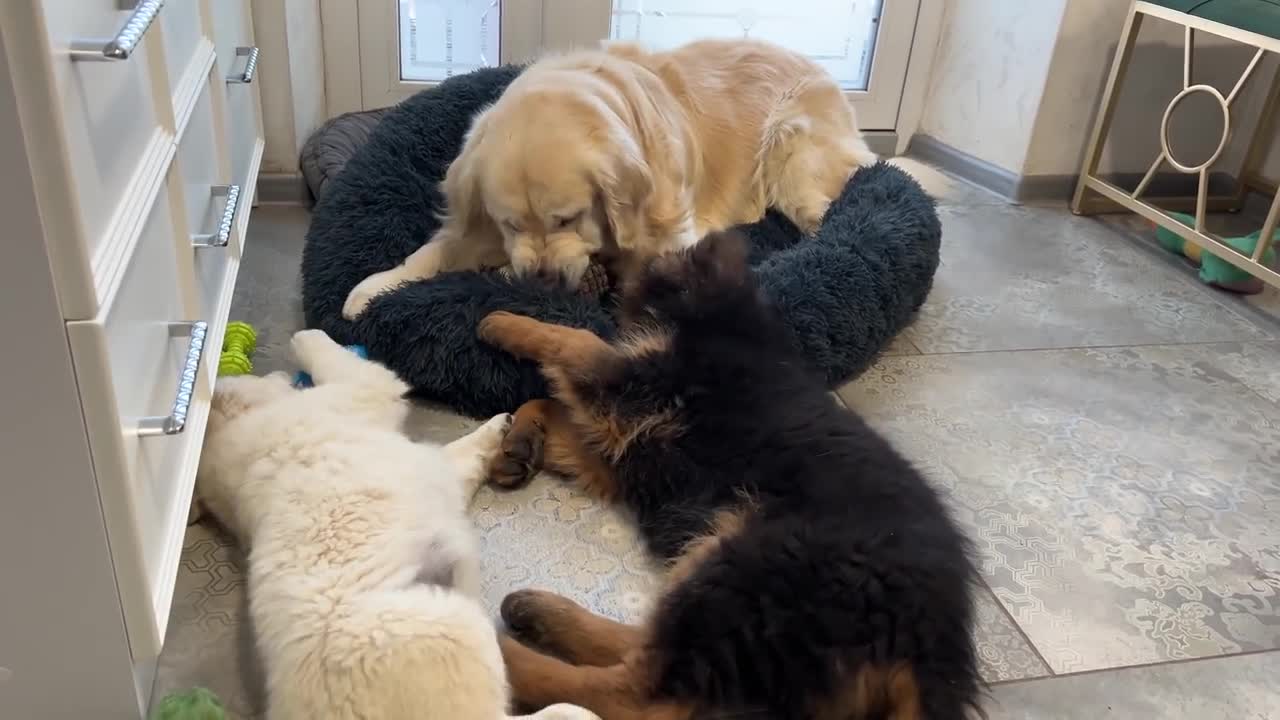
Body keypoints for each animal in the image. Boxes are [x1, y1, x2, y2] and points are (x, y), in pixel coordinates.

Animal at [478, 230, 977, 717]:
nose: (600, 256)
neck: (727, 315)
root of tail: (928, 645)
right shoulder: (622, 451)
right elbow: (548, 403)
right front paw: (520, 443)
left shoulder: (639, 385)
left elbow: (573, 339)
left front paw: (500, 321)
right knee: (651, 654)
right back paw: (537, 612)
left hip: (751, 562)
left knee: (637, 696)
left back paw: (503, 654)